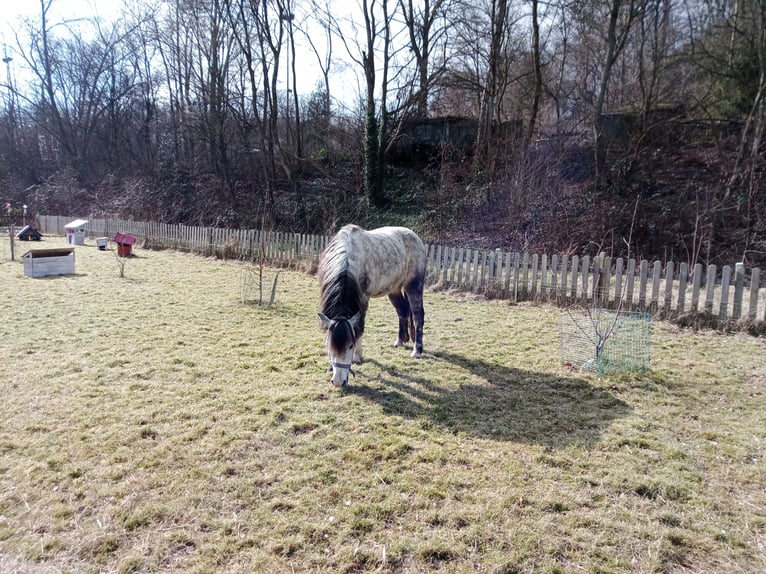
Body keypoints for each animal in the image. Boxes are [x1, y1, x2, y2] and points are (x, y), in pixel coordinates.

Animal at [316, 224, 426, 388]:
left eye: (350, 345)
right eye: (329, 345)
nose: (338, 382)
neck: (349, 258)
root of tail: (415, 237)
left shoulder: (362, 300)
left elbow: (359, 329)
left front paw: (357, 357)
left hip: (413, 286)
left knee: (418, 316)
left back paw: (417, 351)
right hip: (394, 289)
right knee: (403, 311)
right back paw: (400, 340)